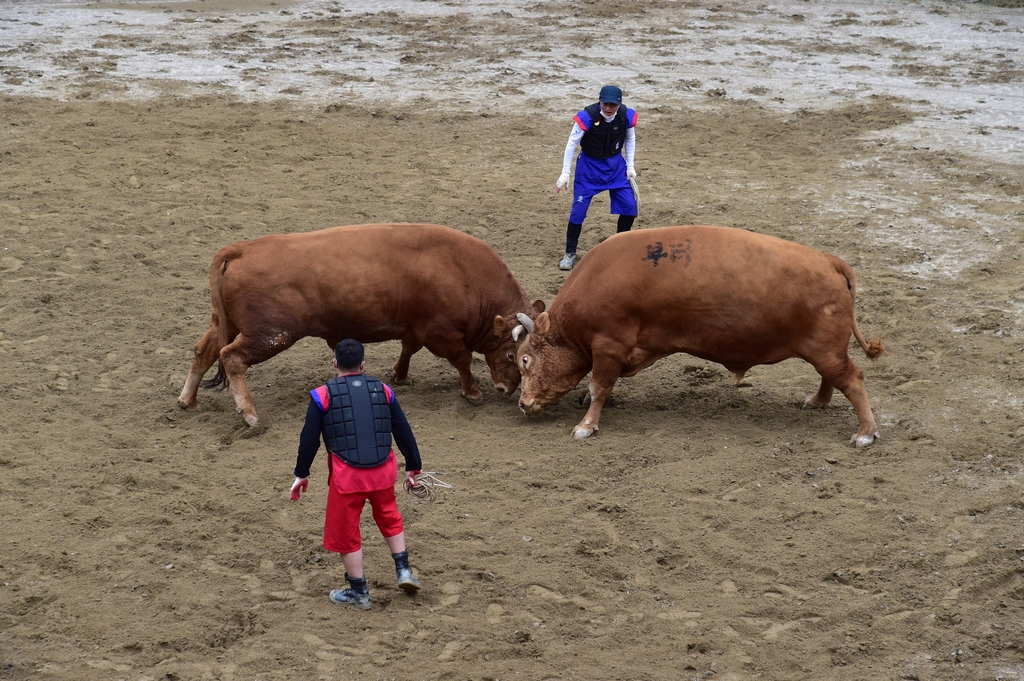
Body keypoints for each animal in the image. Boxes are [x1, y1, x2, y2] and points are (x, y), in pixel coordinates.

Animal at [178, 224, 544, 426]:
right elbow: (463, 361)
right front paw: (473, 392)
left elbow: (408, 348)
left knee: (204, 352)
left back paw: (188, 400)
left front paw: (400, 375)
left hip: (226, 324)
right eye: (512, 355)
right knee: (232, 357)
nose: (508, 390)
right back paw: (249, 412)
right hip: (270, 335)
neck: (463, 272)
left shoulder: (414, 328)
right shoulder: (441, 333)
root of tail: (241, 249)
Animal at [516, 223, 884, 446]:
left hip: (825, 349)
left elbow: (599, 386)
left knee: (852, 380)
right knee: (832, 376)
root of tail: (829, 261)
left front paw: (587, 424)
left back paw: (865, 432)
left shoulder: (609, 344)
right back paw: (819, 401)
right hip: (824, 350)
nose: (523, 403)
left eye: (525, 360)